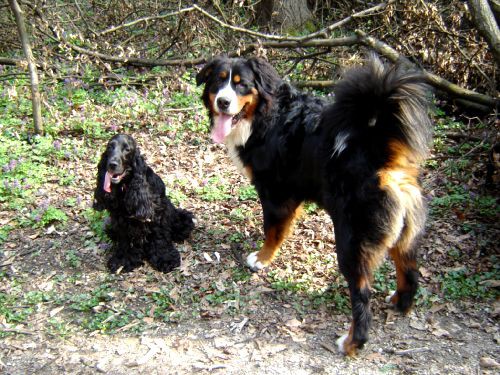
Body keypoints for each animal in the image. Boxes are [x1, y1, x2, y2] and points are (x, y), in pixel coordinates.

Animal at [93, 134, 194, 274]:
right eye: (109, 147)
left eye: (127, 149)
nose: (112, 164)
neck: (126, 186)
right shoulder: (120, 221)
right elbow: (125, 241)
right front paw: (123, 260)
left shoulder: (157, 215)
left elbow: (159, 237)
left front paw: (165, 258)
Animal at [197, 55, 432, 356]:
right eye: (218, 81)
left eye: (241, 85)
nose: (223, 102)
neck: (267, 116)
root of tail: (381, 154)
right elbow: (282, 229)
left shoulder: (275, 191)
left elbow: (272, 231)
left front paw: (261, 259)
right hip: (404, 235)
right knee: (410, 272)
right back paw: (400, 303)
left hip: (352, 243)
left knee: (362, 296)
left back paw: (352, 342)